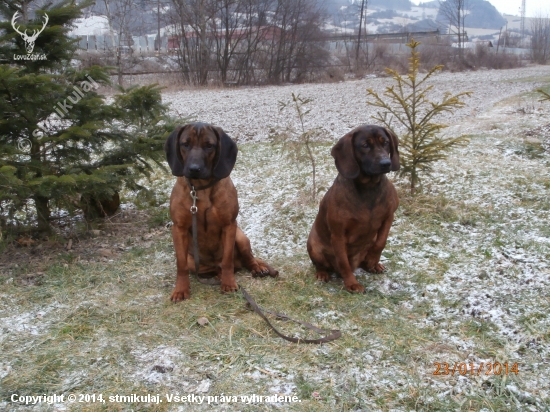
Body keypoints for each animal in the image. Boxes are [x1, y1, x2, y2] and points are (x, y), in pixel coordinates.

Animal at [163, 120, 276, 300]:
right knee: (213, 268)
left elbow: (227, 260)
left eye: (209, 146)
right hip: (193, 261)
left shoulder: (229, 225)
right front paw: (180, 289)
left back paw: (256, 268)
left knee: (245, 259)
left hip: (241, 236)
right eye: (185, 144)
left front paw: (229, 284)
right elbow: (181, 265)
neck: (201, 189)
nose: (194, 168)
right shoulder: (178, 228)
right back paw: (218, 274)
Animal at [306, 124, 402, 292]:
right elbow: (343, 262)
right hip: (313, 245)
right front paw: (352, 283)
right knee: (322, 265)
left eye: (385, 142)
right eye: (365, 145)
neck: (369, 188)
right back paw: (322, 273)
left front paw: (373, 259)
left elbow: (381, 242)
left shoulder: (389, 216)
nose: (386, 163)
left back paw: (373, 265)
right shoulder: (338, 234)